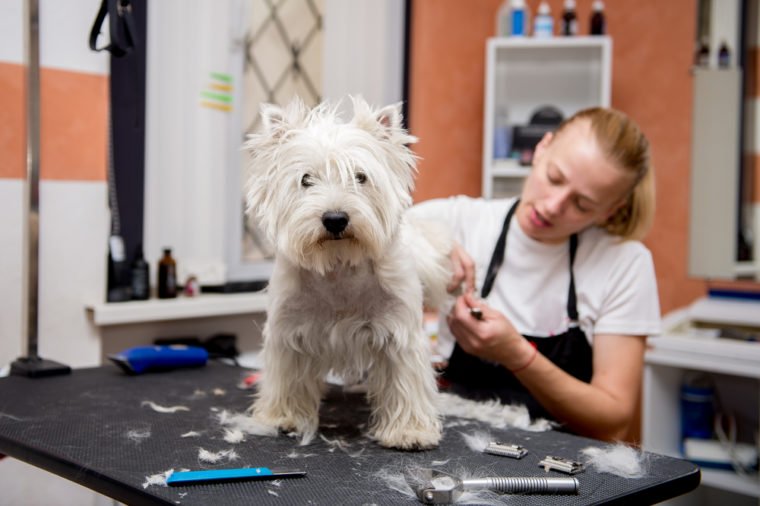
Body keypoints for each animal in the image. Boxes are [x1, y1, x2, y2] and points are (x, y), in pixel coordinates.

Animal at [245, 97, 452, 448]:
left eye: (360, 177)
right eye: (306, 179)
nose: (335, 219)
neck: (338, 267)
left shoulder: (399, 334)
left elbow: (404, 381)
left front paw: (409, 431)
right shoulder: (290, 332)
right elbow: (288, 377)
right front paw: (283, 417)